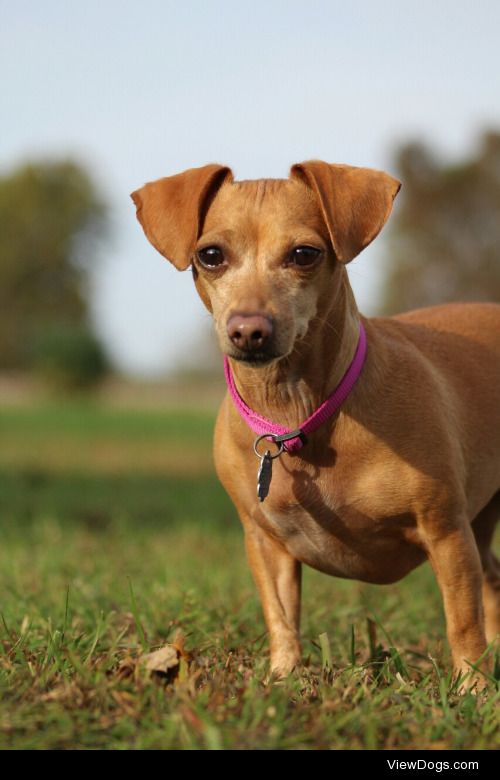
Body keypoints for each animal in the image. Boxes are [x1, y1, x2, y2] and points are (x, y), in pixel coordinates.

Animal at [132, 161, 500, 684]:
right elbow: (282, 618)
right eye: (210, 255)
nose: (249, 329)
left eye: (304, 254)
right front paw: (281, 679)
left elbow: (462, 622)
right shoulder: (266, 544)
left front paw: (472, 687)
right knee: (493, 577)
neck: (296, 417)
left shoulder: (446, 533)